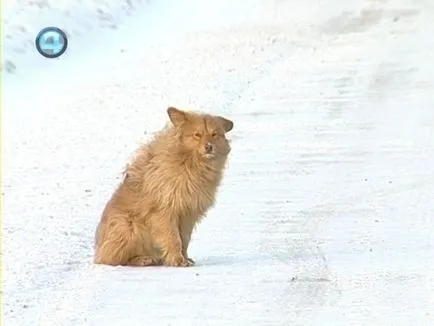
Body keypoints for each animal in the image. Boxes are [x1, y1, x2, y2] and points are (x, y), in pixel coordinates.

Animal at [94, 107, 234, 268]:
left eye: (214, 134)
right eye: (197, 135)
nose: (209, 147)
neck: (189, 162)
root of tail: (97, 252)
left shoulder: (188, 213)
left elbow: (184, 239)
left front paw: (184, 257)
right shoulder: (165, 210)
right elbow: (173, 238)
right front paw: (178, 260)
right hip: (127, 227)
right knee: (112, 259)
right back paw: (142, 259)